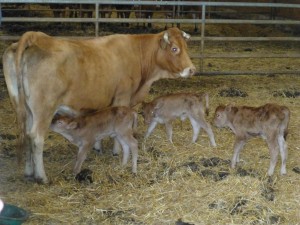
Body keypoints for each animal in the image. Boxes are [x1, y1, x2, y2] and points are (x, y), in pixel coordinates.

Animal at [3, 27, 196, 184]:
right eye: (174, 49)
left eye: (186, 47)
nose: (192, 69)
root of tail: (37, 37)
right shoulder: (122, 98)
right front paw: (117, 151)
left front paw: (98, 147)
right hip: (44, 109)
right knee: (36, 137)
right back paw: (41, 177)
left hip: (25, 110)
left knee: (27, 134)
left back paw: (29, 172)